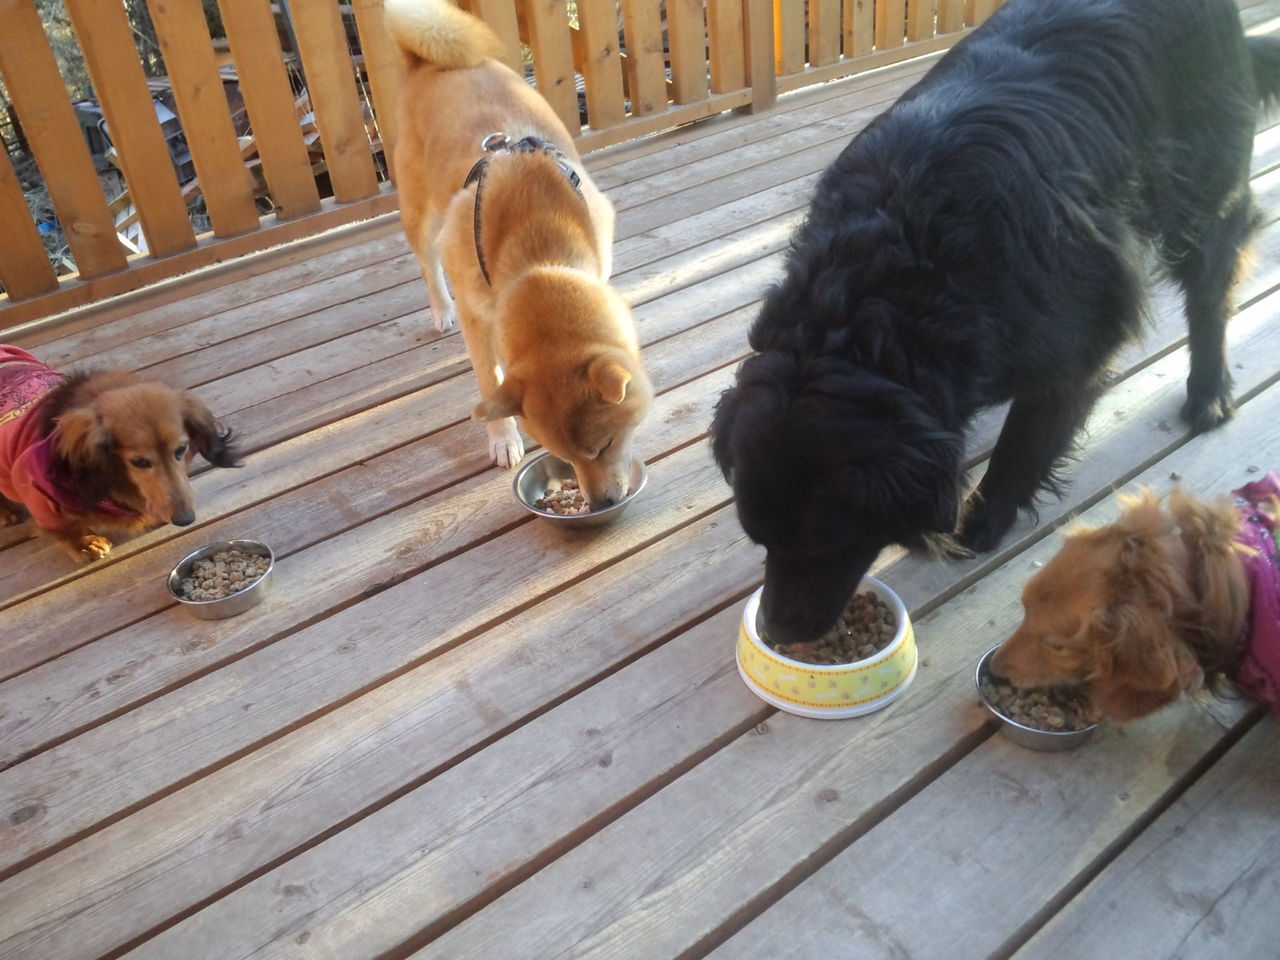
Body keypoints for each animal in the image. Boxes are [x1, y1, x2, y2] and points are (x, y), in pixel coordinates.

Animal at [0, 345, 241, 563]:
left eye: (181, 450)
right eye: (139, 461)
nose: (185, 519)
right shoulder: (33, 490)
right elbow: (64, 528)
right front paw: (86, 543)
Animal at [384, 0, 651, 509]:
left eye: (604, 445)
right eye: (563, 455)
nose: (602, 504)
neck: (540, 255)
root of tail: (428, 61)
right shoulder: (476, 314)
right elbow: (489, 380)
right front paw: (502, 439)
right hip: (419, 214)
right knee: (427, 265)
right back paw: (440, 310)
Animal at [710, 0, 1280, 645]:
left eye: (825, 543)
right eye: (759, 538)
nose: (775, 630)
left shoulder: (1076, 342)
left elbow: (1025, 441)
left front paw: (981, 520)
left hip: (1204, 183)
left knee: (1212, 286)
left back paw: (1210, 391)